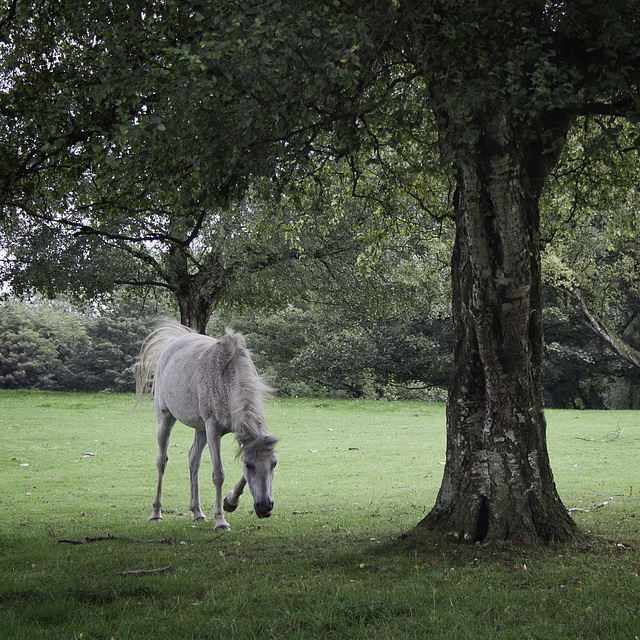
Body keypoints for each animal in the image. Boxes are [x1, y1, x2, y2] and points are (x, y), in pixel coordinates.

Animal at [134, 320, 276, 528]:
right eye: (249, 465)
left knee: (194, 459)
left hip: (200, 429)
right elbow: (218, 474)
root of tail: (173, 342)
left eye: (274, 464)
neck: (225, 380)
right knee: (161, 461)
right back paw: (156, 511)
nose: (265, 507)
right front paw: (221, 520)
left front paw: (231, 501)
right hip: (165, 419)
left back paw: (197, 511)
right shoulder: (213, 430)